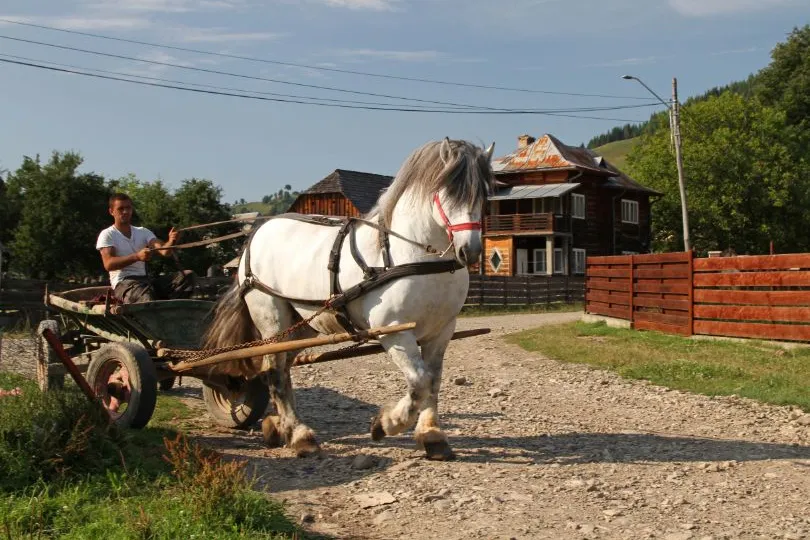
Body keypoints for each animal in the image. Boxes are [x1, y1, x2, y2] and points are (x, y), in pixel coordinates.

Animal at [202, 139, 492, 460]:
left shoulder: (442, 331)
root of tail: (257, 233)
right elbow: (420, 382)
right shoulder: (395, 332)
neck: (415, 257)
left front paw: (432, 436)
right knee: (275, 373)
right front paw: (385, 424)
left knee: (280, 370)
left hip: (300, 325)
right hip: (273, 320)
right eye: (449, 191)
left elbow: (434, 381)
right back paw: (300, 435)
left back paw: (279, 426)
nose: (471, 251)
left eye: (484, 193)